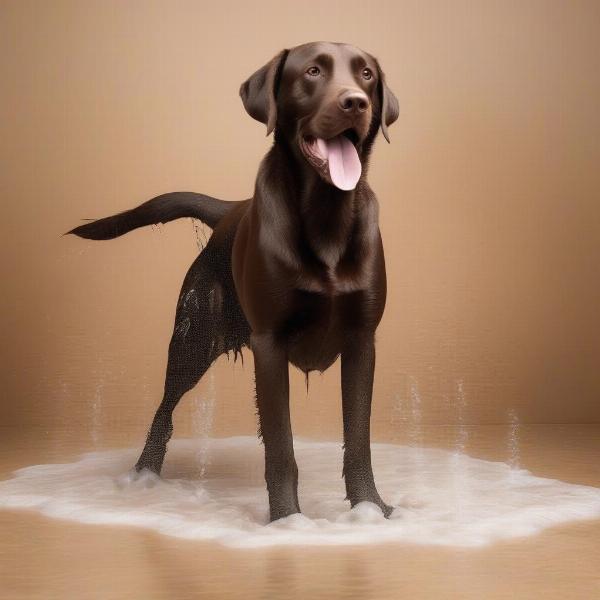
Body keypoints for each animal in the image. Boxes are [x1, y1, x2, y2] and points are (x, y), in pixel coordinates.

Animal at [68, 41, 398, 520]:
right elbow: (280, 446)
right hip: (192, 341)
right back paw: (142, 477)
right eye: (313, 71)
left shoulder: (361, 343)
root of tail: (231, 210)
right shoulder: (269, 344)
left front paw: (369, 509)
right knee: (163, 410)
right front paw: (287, 519)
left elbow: (358, 440)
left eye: (367, 75)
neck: (327, 216)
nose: (355, 101)